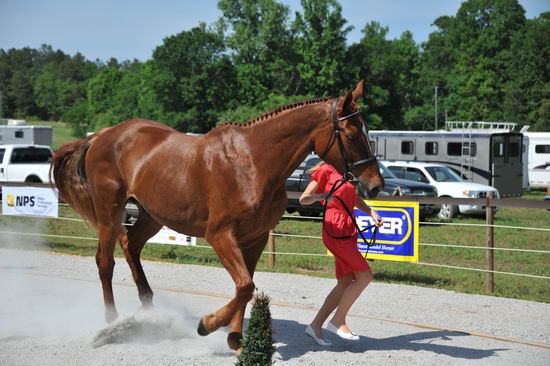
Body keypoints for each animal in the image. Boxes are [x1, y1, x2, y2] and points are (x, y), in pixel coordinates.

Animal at [50, 81, 384, 352]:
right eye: (351, 135)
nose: (375, 185)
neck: (253, 163)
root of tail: (103, 135)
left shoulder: (255, 238)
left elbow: (245, 287)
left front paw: (234, 338)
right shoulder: (220, 234)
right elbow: (245, 286)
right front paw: (208, 324)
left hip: (152, 215)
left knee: (130, 246)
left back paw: (148, 311)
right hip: (110, 211)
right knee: (105, 262)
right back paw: (111, 323)